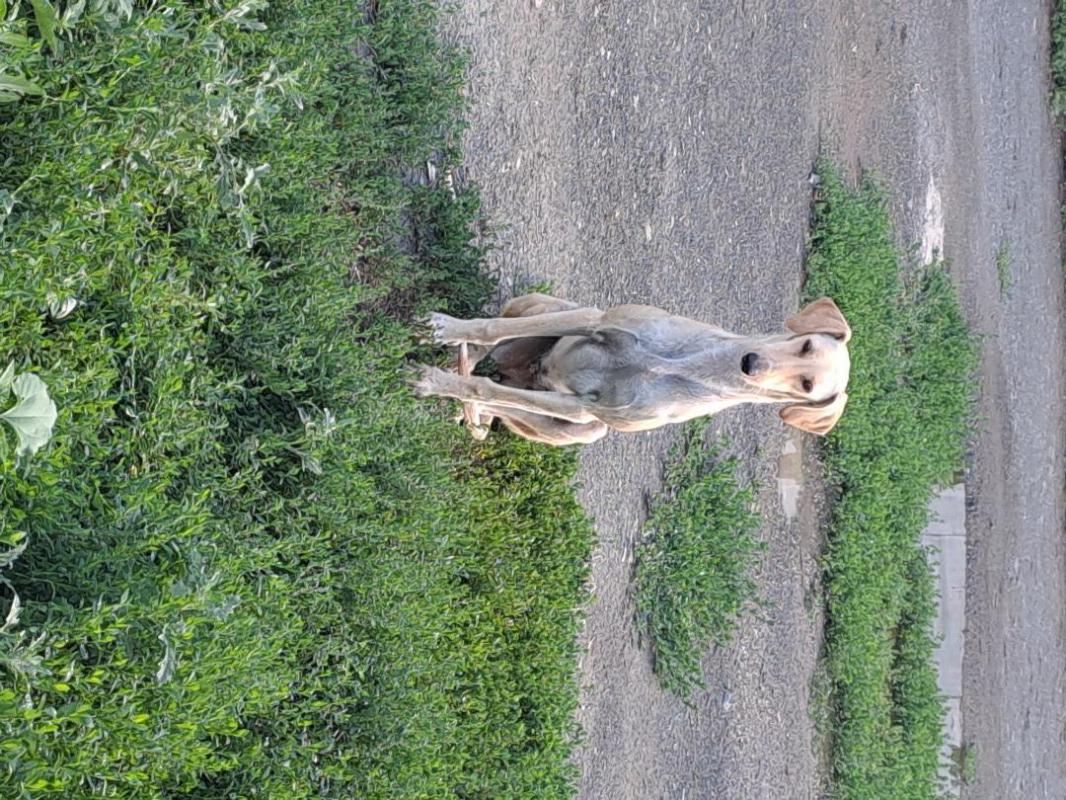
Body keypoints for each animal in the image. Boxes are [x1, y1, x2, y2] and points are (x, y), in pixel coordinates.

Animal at [407, 294, 848, 448]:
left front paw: (434, 382)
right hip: (544, 304)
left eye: (806, 384)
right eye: (805, 344)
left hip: (584, 430)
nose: (751, 364)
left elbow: (483, 389)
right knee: (489, 343)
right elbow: (488, 328)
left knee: (496, 396)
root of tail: (516, 369)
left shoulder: (581, 408)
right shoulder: (590, 320)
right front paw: (444, 329)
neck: (678, 364)